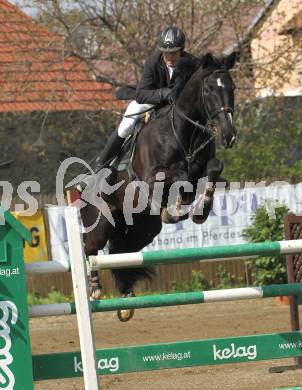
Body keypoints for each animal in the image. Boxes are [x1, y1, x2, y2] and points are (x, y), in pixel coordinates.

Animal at [79, 51, 237, 320]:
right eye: (208, 91)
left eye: (232, 88)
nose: (229, 135)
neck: (184, 131)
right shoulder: (153, 177)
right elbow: (180, 177)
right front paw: (177, 208)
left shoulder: (205, 168)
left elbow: (213, 169)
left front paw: (201, 211)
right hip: (100, 222)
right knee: (89, 246)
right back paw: (95, 289)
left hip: (143, 229)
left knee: (121, 251)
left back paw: (126, 298)